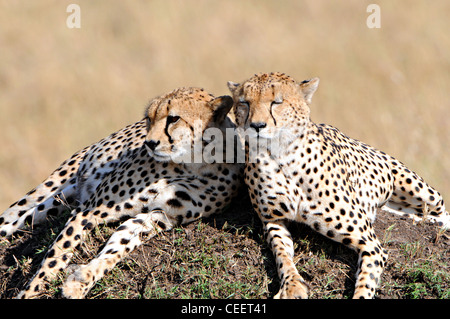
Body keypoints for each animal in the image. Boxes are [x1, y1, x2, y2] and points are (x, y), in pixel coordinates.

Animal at [0, 87, 243, 300]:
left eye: (173, 118)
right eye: (149, 118)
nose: (150, 143)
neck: (194, 162)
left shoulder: (161, 216)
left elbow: (120, 245)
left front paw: (80, 281)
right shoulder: (90, 210)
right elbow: (55, 258)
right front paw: (31, 294)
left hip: (55, 204)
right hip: (50, 187)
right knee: (11, 217)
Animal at [229, 72, 450, 300]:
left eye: (277, 102)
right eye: (244, 103)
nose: (256, 126)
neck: (278, 154)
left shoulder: (370, 243)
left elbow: (366, 280)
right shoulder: (273, 221)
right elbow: (282, 255)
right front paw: (292, 287)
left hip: (422, 192)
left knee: (441, 214)